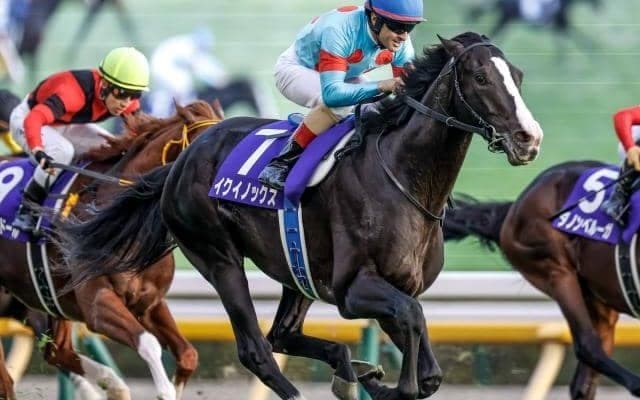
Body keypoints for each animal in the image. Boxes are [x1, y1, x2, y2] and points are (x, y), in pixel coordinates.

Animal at [0, 97, 223, 399]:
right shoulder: (98, 302)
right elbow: (148, 343)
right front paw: (164, 390)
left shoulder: (150, 303)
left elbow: (188, 354)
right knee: (8, 378)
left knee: (57, 352)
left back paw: (112, 384)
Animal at [57, 31, 543, 400]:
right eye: (480, 77)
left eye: (518, 77)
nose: (529, 138)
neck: (405, 178)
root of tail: (181, 160)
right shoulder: (352, 290)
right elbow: (413, 325)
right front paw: (385, 383)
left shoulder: (396, 286)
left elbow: (425, 357)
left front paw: (372, 377)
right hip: (218, 257)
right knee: (256, 348)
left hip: (298, 269)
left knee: (282, 335)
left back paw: (348, 368)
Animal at [441, 160, 640, 399]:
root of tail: (512, 210)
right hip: (555, 270)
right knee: (588, 346)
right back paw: (637, 384)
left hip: (599, 297)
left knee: (584, 382)